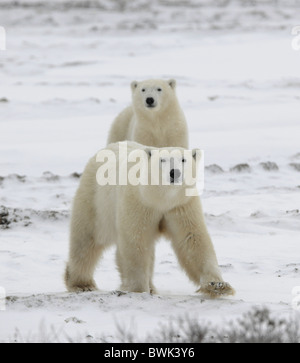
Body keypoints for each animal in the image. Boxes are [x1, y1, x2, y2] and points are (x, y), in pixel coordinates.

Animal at [65, 142, 234, 298]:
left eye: (183, 159)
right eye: (162, 160)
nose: (174, 172)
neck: (160, 198)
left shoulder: (181, 205)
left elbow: (192, 238)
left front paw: (218, 285)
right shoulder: (139, 203)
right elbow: (136, 241)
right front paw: (138, 289)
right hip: (96, 201)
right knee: (86, 240)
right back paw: (81, 284)